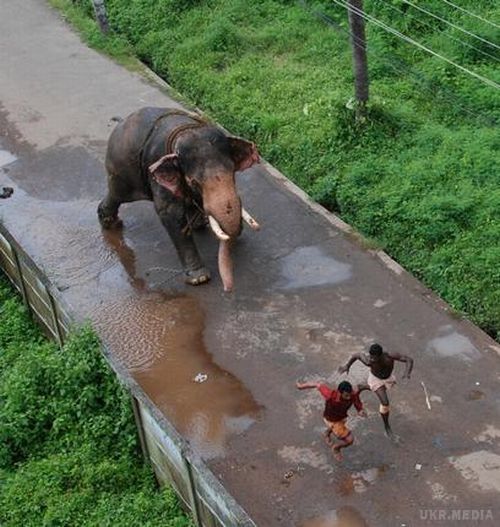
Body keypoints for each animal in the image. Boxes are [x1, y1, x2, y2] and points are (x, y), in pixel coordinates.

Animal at [98, 105, 262, 290]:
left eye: (233, 172)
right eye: (193, 182)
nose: (228, 287)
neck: (188, 130)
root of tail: (122, 121)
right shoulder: (158, 171)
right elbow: (170, 213)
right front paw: (199, 279)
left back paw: (199, 224)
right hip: (121, 170)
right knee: (118, 194)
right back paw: (109, 223)